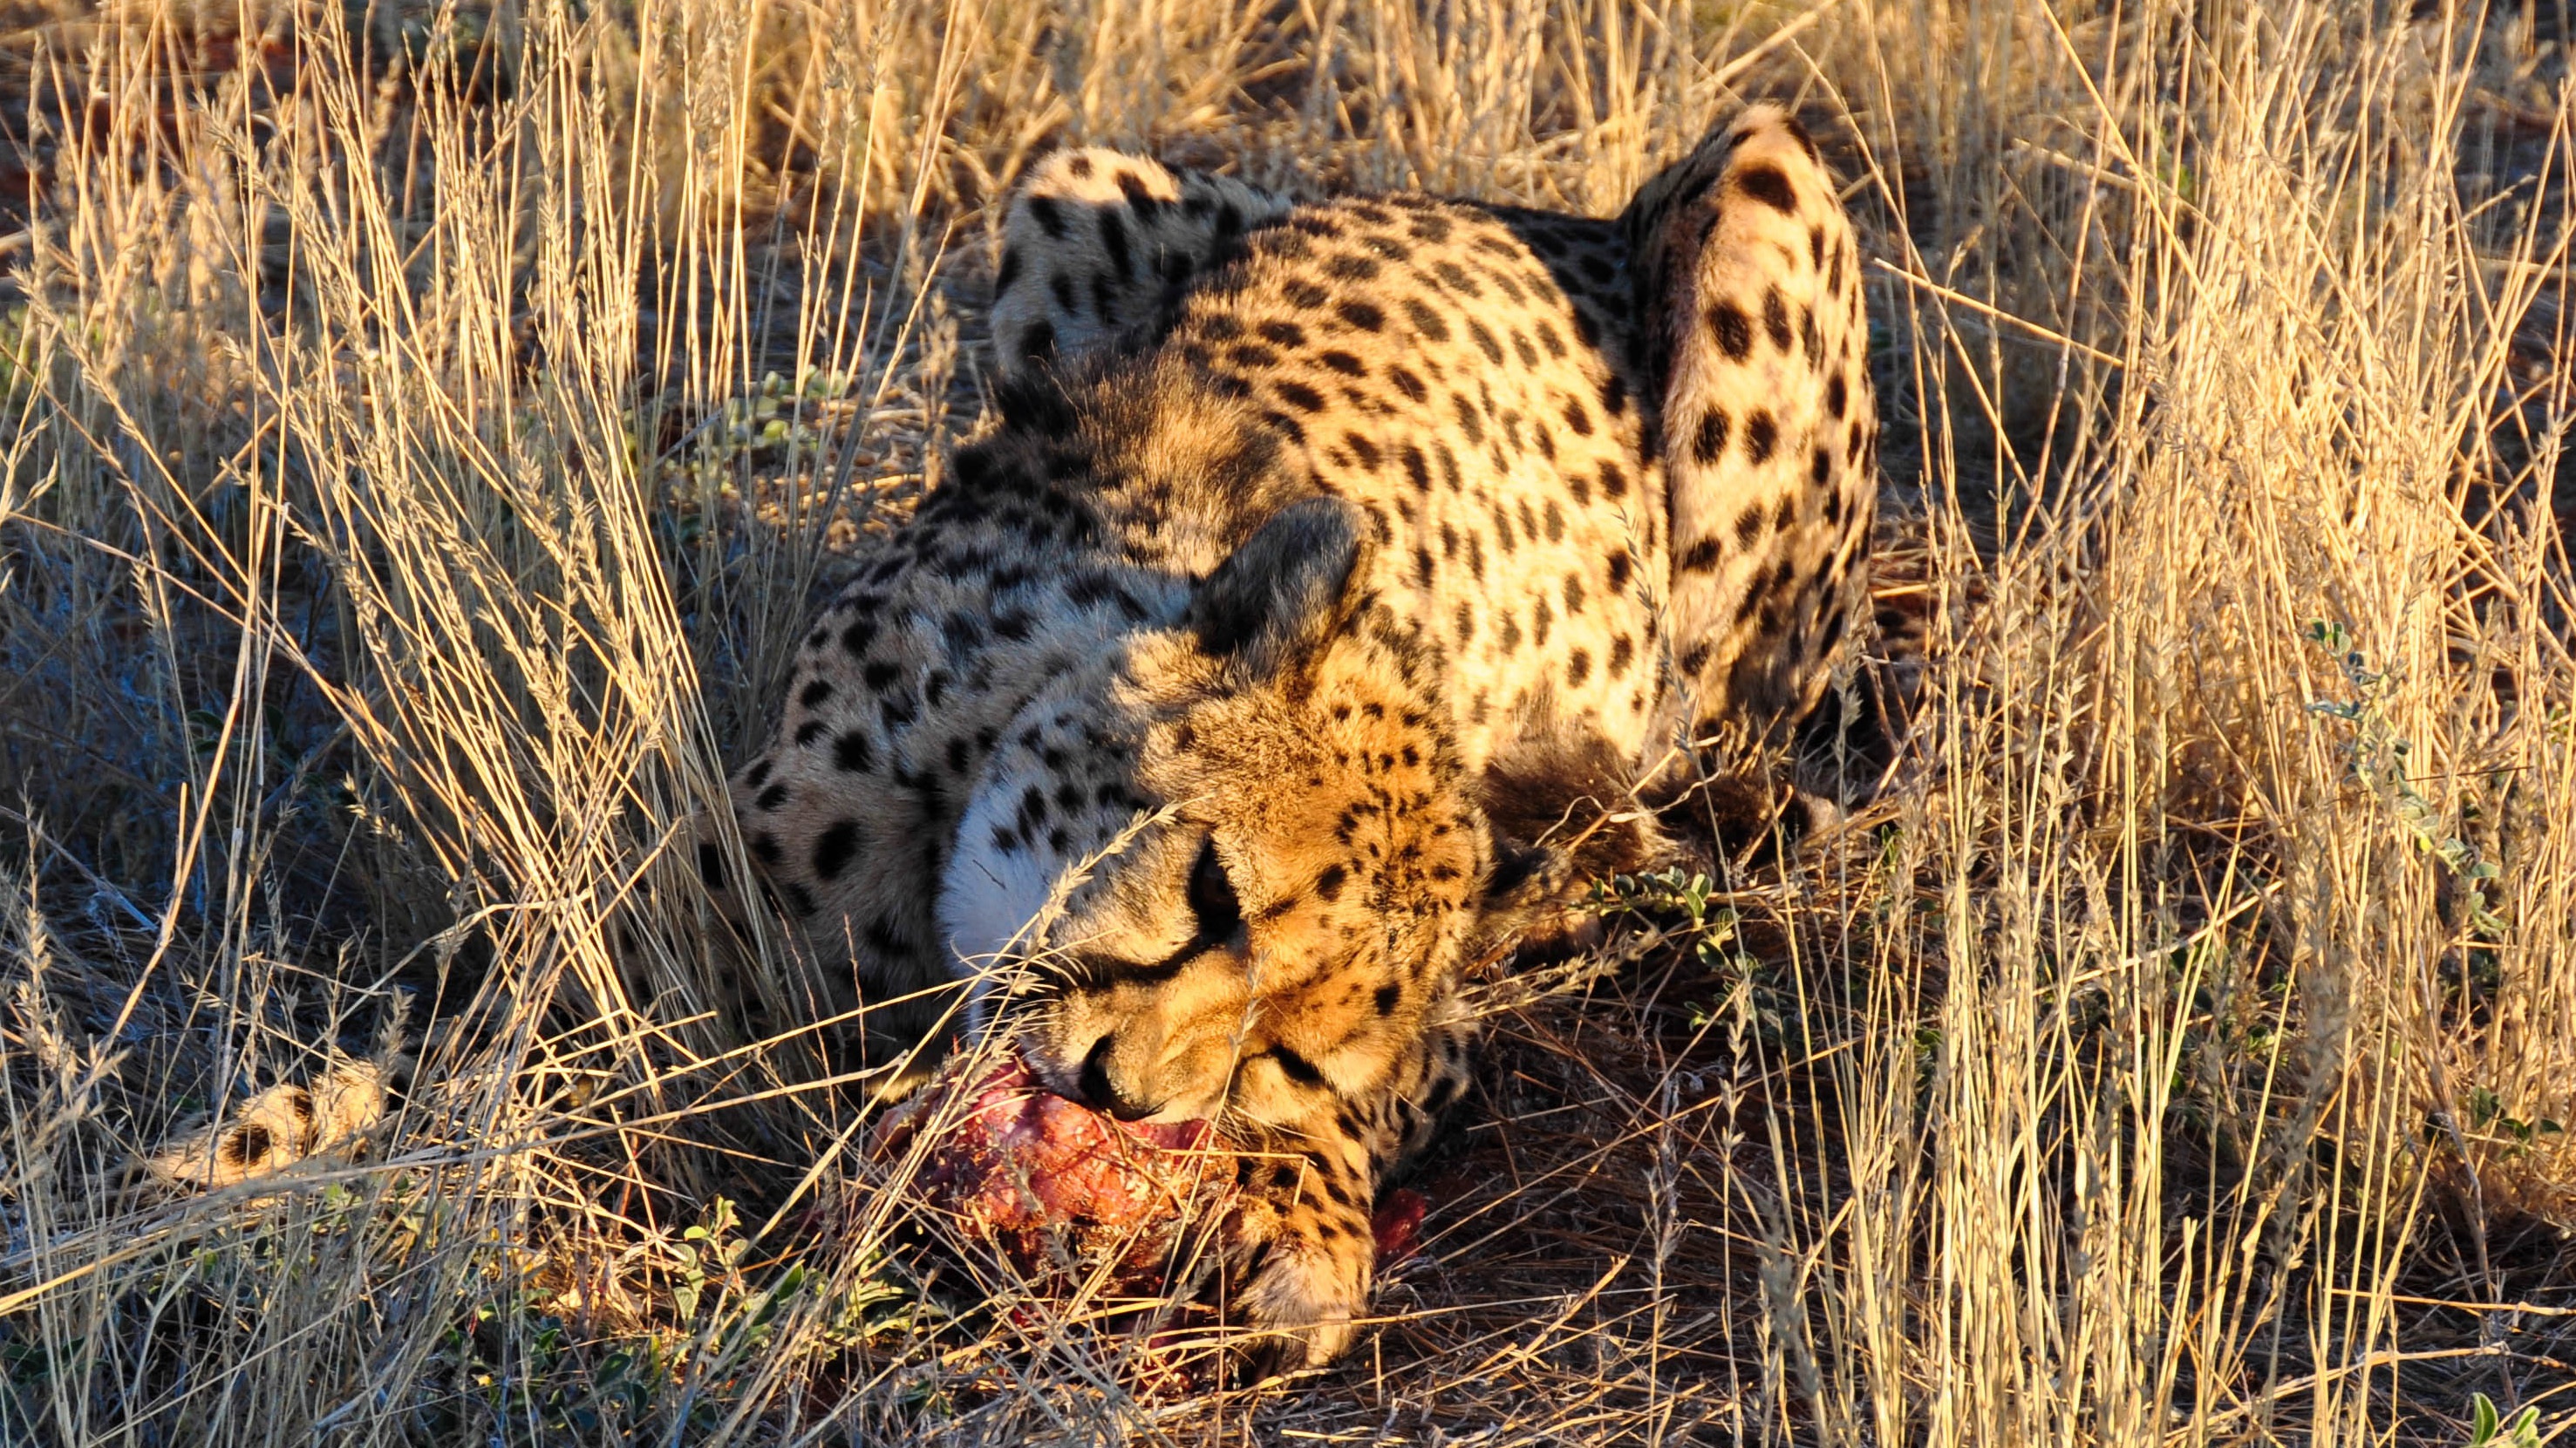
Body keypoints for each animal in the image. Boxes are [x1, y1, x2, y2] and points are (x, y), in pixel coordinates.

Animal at [705, 106, 1875, 1370]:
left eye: (1285, 1050)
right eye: (1213, 890)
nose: (1115, 1093)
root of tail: (1497, 204)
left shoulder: (1440, 1038)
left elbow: (1364, 1111)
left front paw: (1295, 1219)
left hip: (1761, 168)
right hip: (1068, 184)